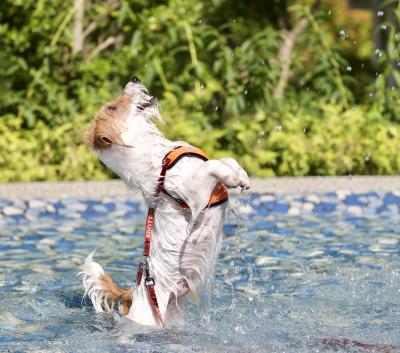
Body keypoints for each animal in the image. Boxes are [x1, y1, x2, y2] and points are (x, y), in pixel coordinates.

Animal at [80, 77, 250, 328]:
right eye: (112, 108)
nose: (134, 79)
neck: (159, 155)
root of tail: (134, 294)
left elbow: (226, 159)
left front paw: (240, 174)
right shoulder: (193, 190)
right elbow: (212, 165)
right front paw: (232, 177)